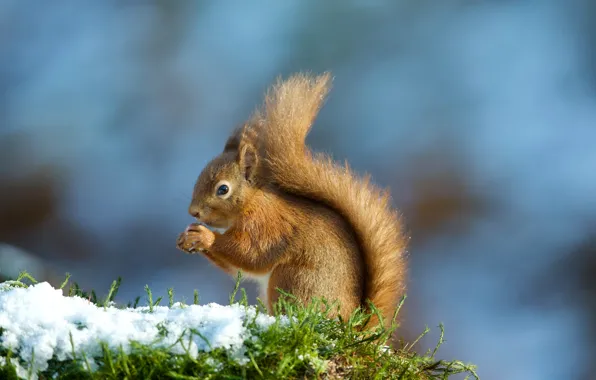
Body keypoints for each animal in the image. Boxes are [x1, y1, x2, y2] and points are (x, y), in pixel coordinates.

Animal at [175, 73, 408, 326]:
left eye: (223, 189)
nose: (193, 212)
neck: (253, 201)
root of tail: (351, 323)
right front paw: (187, 237)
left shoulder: (266, 226)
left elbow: (250, 256)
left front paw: (205, 236)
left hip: (293, 279)